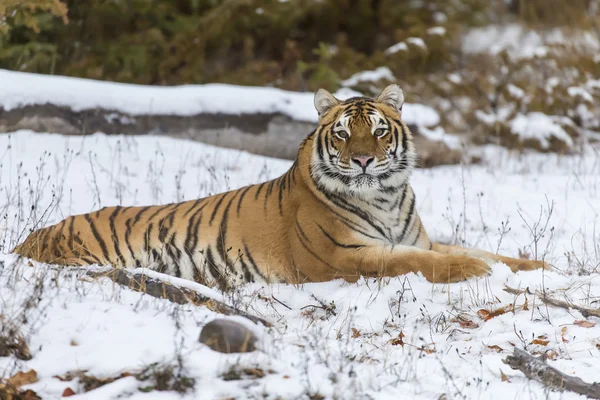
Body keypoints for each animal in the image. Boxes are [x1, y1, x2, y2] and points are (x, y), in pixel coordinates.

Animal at [10, 86, 548, 290]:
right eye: (342, 133)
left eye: (378, 130)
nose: (363, 160)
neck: (386, 195)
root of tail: (29, 238)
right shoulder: (342, 257)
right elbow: (415, 262)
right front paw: (472, 269)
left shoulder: (419, 237)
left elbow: (489, 251)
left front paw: (541, 268)